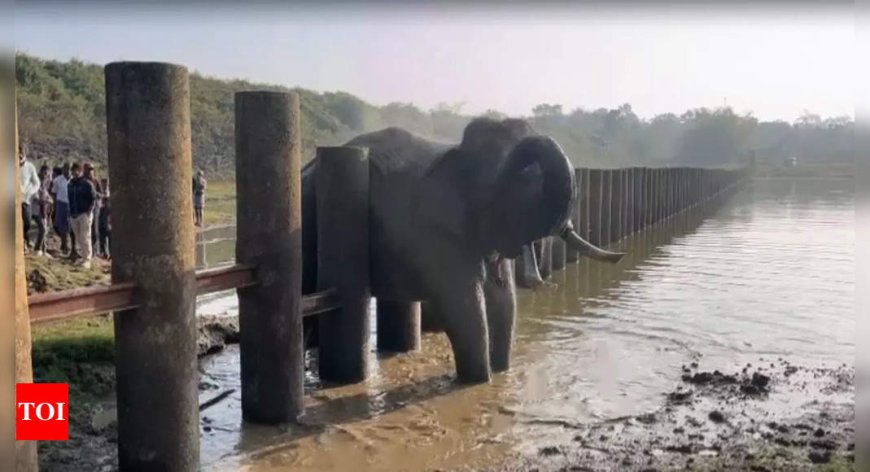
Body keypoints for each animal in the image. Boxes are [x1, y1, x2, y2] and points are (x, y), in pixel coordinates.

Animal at [302, 118, 628, 384]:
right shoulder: (438, 229)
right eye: (511, 186)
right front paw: (479, 384)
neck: (456, 156)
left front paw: (502, 373)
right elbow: (465, 305)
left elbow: (503, 300)